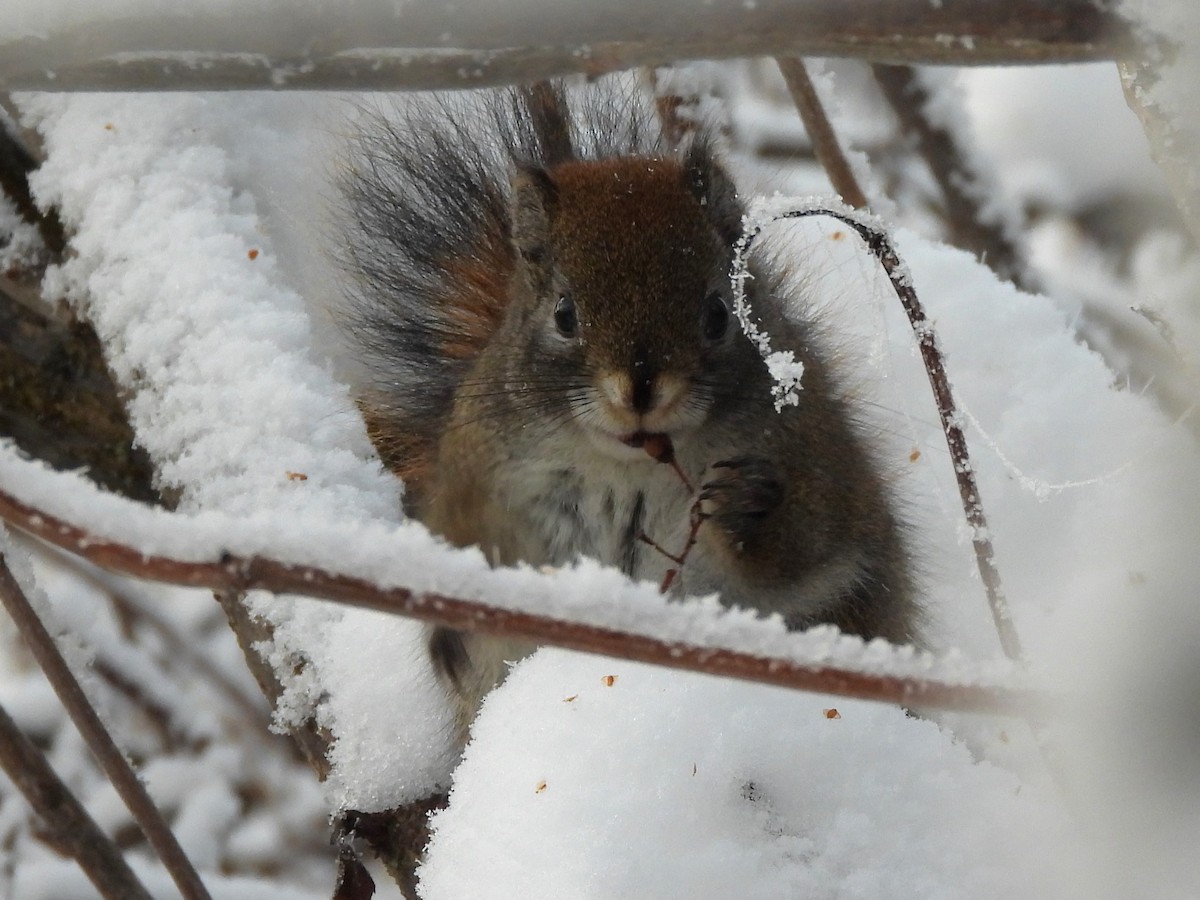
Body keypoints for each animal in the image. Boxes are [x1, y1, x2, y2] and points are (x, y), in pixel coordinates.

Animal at [337, 79, 919, 737]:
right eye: (564, 314)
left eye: (718, 312)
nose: (640, 391)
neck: (628, 467)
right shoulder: (473, 488)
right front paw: (461, 631)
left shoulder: (816, 462)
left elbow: (805, 550)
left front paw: (745, 506)